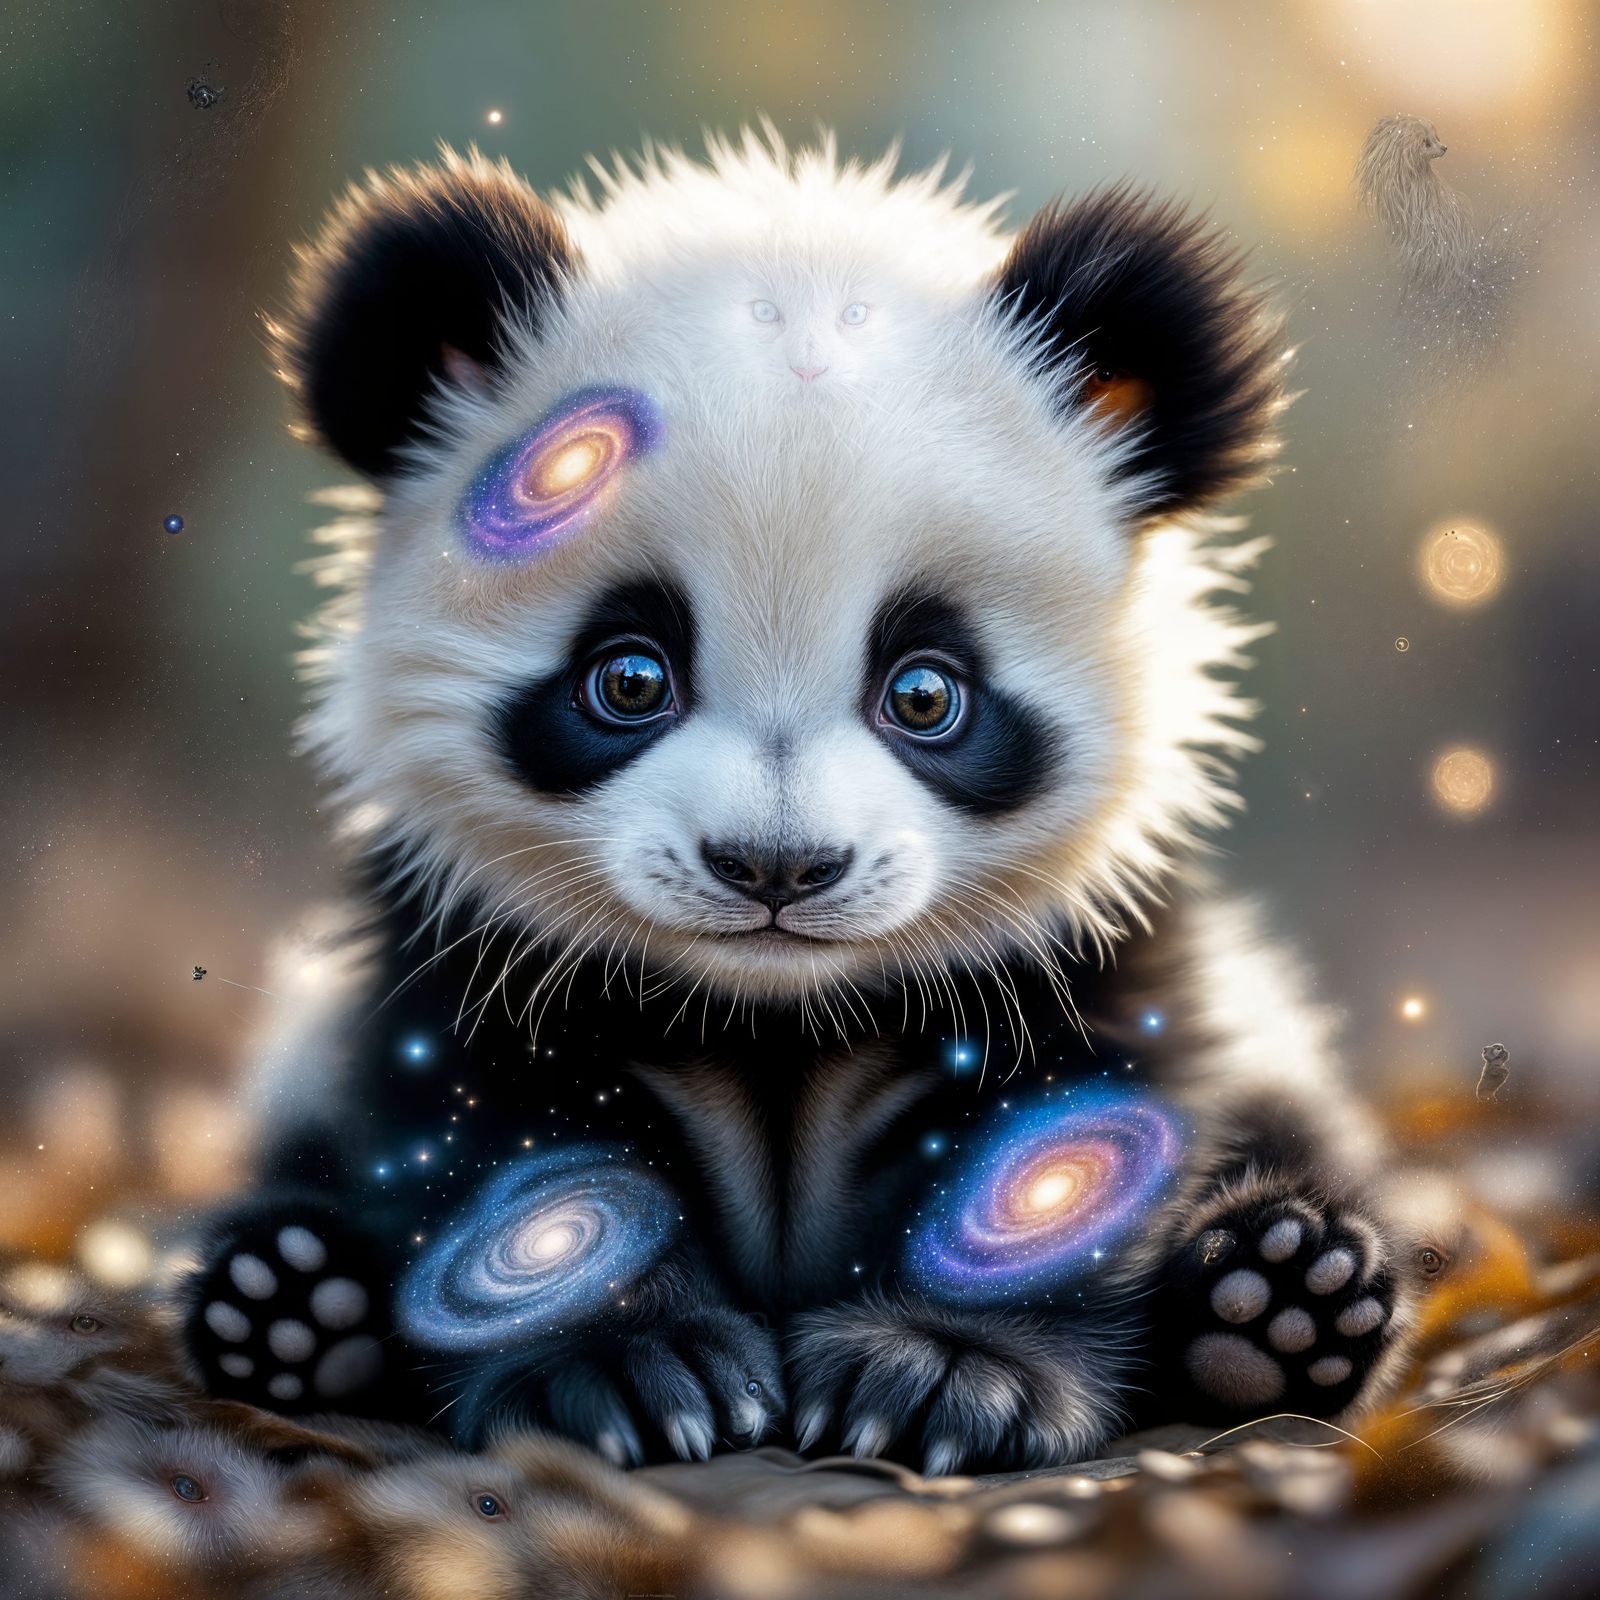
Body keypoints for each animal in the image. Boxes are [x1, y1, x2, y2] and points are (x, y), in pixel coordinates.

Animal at [185, 132, 1429, 1474]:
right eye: (629, 677)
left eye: (925, 691)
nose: (774, 866)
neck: (773, 1013)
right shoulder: (464, 940)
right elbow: (503, 1144)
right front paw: (624, 1372)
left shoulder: (1085, 940)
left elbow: (1059, 1146)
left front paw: (942, 1375)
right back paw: (296, 1308)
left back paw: (1275, 1305)